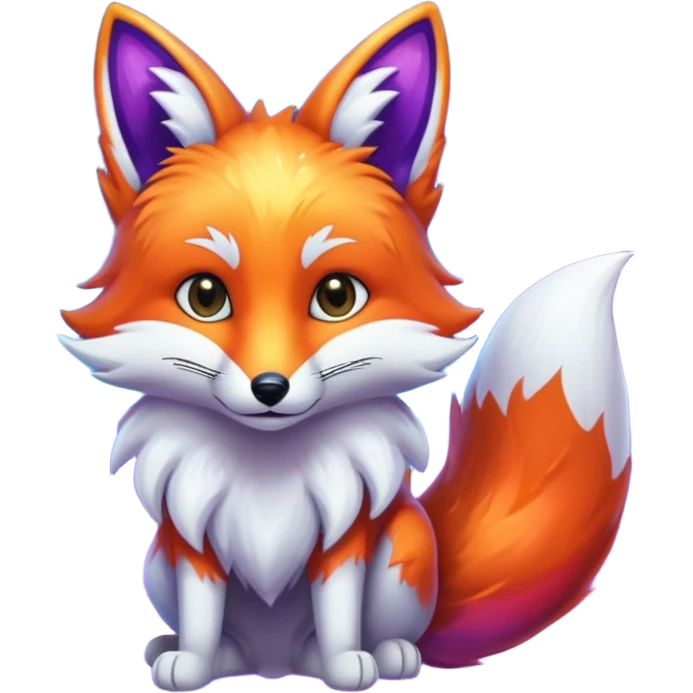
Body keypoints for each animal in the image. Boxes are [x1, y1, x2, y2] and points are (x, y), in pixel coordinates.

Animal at [61, 2, 634, 691]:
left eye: (336, 297)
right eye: (205, 297)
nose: (270, 388)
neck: (268, 472)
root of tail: (273, 664)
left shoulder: (346, 538)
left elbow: (338, 616)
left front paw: (346, 667)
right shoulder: (192, 539)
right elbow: (203, 616)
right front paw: (192, 665)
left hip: (403, 546)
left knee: (375, 633)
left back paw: (384, 657)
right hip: (158, 561)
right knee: (226, 640)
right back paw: (203, 656)